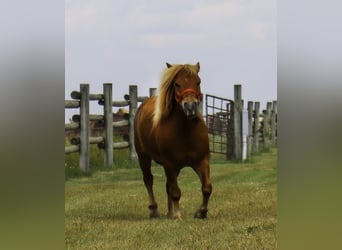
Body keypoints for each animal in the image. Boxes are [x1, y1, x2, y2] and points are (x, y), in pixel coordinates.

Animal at [134, 62, 211, 219]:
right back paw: (154, 211)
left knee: (167, 185)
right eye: (177, 84)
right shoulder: (169, 164)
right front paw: (177, 214)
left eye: (198, 82)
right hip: (143, 157)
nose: (190, 106)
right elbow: (175, 191)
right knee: (149, 180)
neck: (186, 131)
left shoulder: (202, 160)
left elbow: (206, 187)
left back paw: (169, 212)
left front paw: (201, 212)